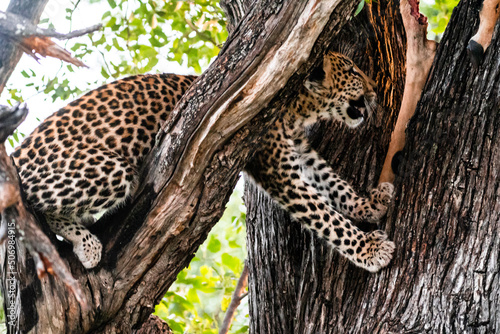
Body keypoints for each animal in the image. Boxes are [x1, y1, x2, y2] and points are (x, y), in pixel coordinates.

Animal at [10, 51, 394, 272]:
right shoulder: (275, 163)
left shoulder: (298, 150)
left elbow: (333, 182)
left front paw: (369, 203)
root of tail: (16, 152)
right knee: (35, 207)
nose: (376, 91)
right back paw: (87, 244)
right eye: (354, 71)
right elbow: (324, 216)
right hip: (110, 171)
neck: (300, 107)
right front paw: (370, 249)